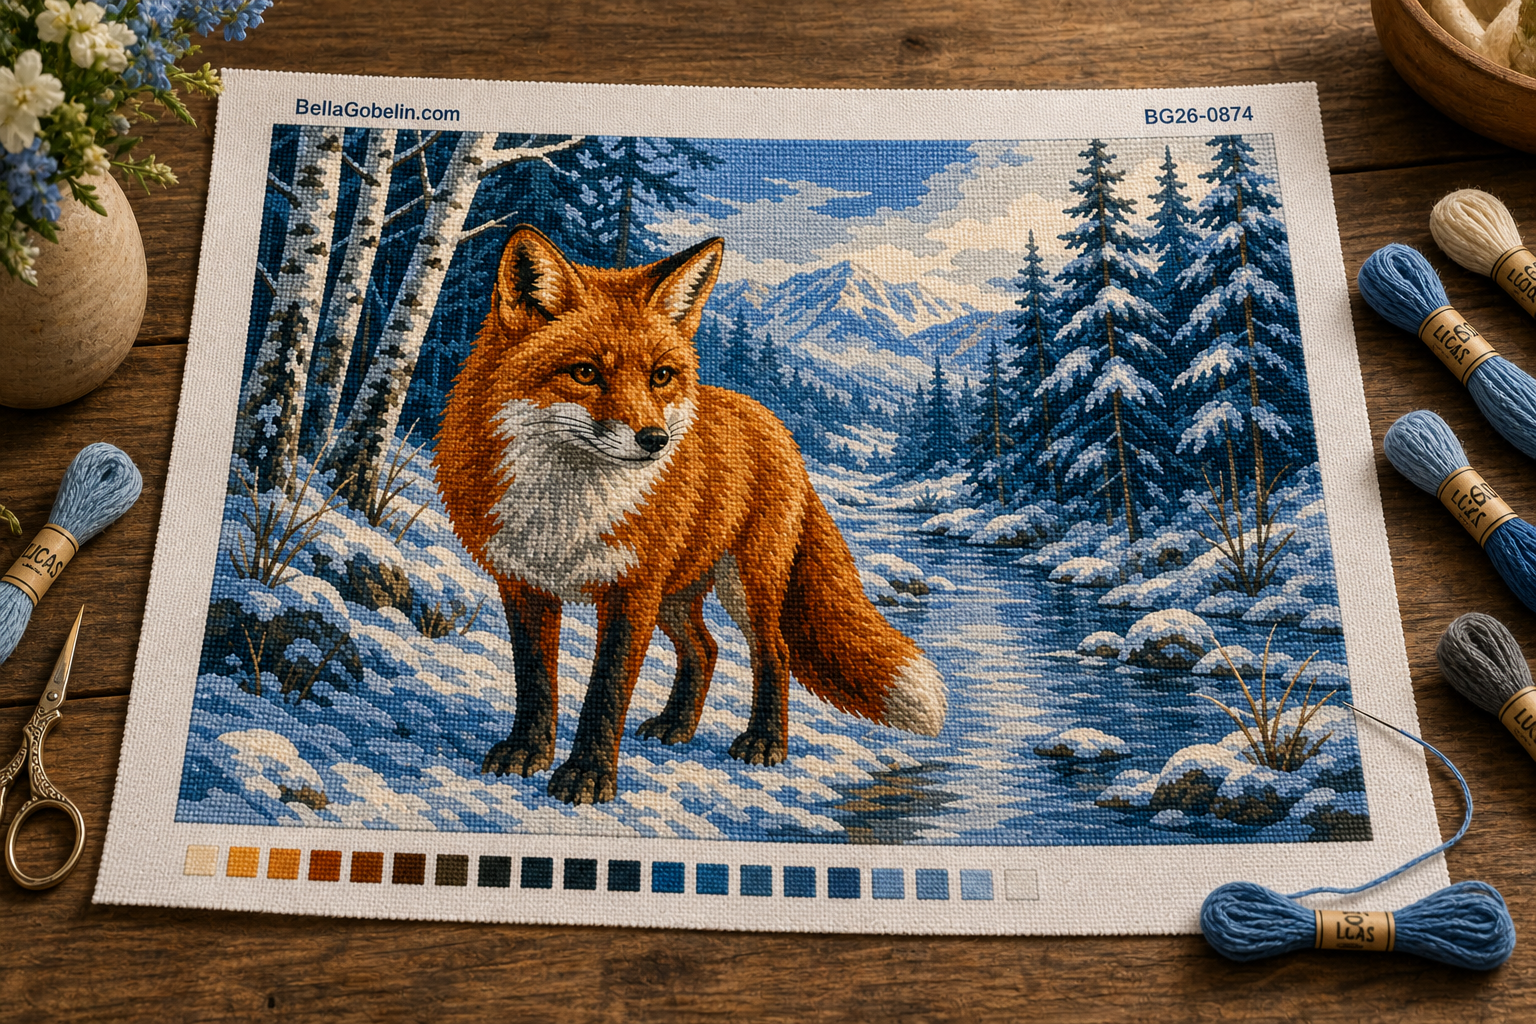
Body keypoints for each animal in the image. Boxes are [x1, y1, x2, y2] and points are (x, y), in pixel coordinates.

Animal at [433, 226, 946, 805]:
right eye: (585, 373)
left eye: (661, 376)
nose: (654, 440)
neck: (565, 508)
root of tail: (772, 422)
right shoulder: (524, 583)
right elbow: (536, 681)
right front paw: (527, 752)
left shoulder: (632, 589)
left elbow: (606, 690)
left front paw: (588, 775)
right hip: (676, 594)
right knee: (705, 649)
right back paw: (677, 725)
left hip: (744, 584)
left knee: (775, 653)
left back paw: (765, 741)